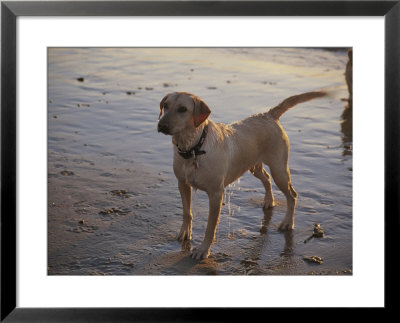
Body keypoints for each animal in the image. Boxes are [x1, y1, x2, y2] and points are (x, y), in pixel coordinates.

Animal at [156, 91, 324, 260]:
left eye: (183, 109)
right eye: (166, 105)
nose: (161, 125)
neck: (193, 148)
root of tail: (269, 114)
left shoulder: (216, 193)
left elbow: (210, 226)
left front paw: (203, 249)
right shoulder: (182, 184)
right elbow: (187, 212)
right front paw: (185, 232)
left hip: (279, 170)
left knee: (292, 195)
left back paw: (287, 222)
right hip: (254, 167)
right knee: (267, 179)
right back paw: (269, 201)